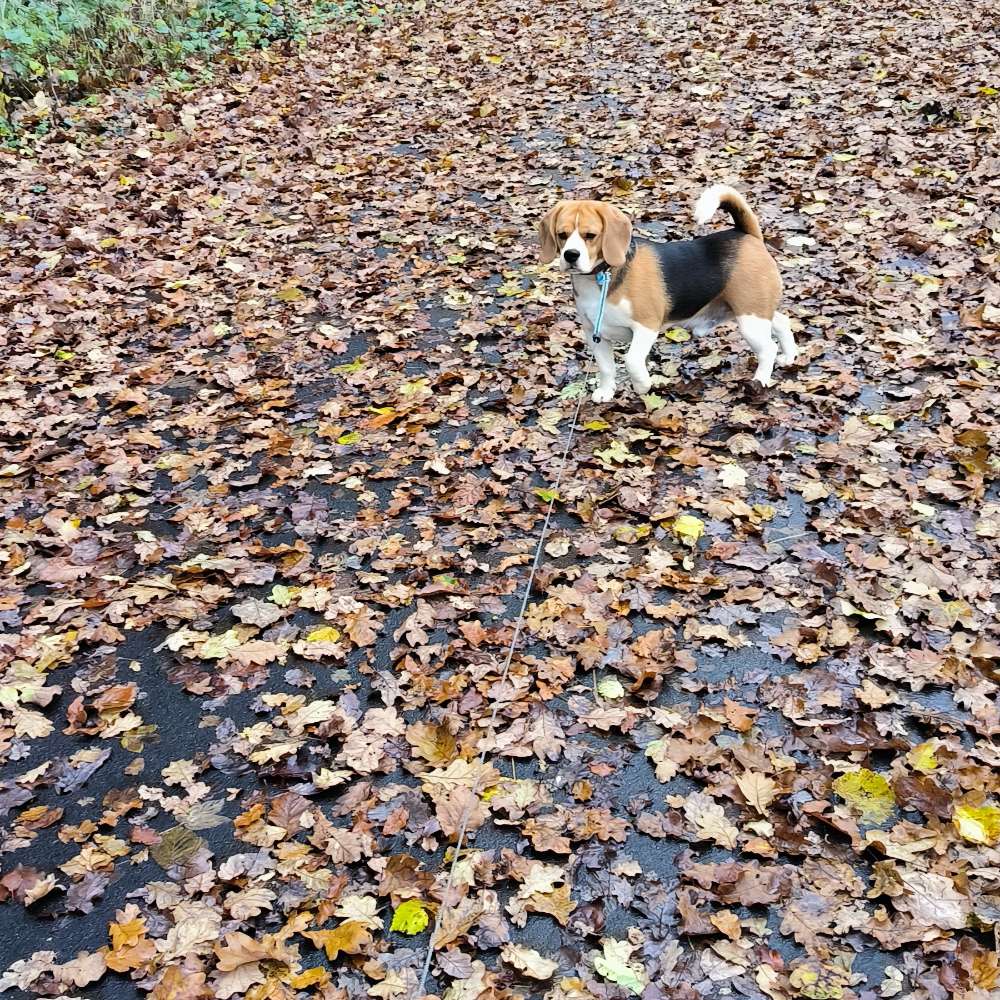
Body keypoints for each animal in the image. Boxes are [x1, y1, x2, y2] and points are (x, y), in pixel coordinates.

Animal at [540, 186, 796, 404]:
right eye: (562, 234)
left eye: (590, 235)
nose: (571, 255)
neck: (602, 276)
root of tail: (746, 234)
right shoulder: (596, 334)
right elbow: (606, 367)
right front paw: (606, 391)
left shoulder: (646, 326)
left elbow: (631, 360)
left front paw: (642, 385)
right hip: (752, 311)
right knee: (782, 321)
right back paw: (789, 356)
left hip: (750, 318)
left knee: (768, 349)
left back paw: (760, 381)